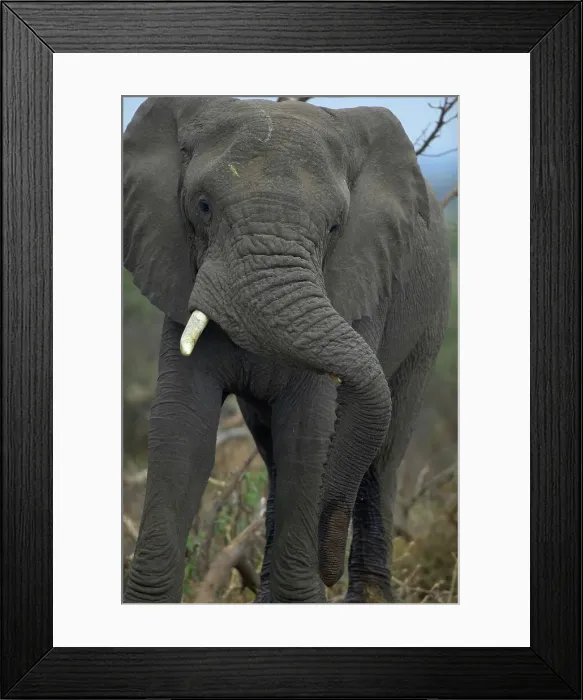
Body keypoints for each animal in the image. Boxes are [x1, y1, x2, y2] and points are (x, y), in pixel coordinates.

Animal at [122, 96, 450, 603]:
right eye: (203, 207)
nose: (327, 570)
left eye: (335, 226)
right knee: (274, 453)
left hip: (429, 318)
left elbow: (310, 433)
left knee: (382, 457)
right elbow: (182, 430)